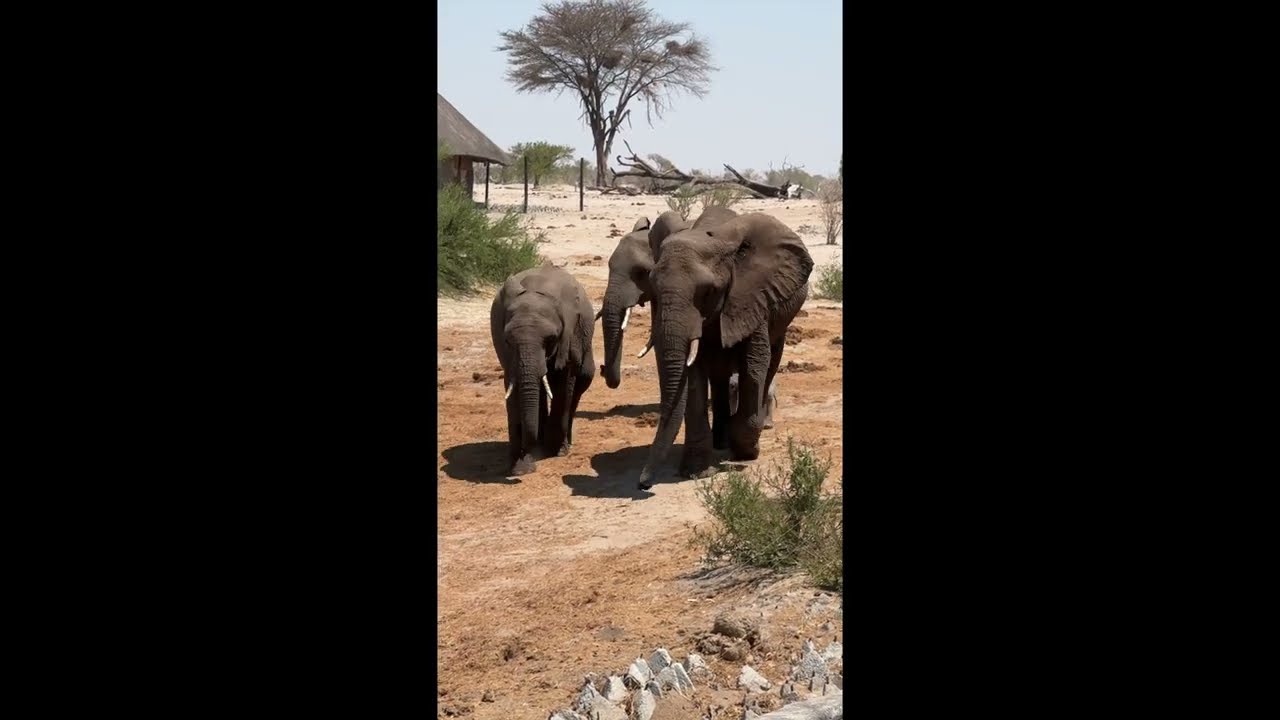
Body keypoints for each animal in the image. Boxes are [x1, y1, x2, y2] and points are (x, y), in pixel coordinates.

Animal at [490, 264, 596, 476]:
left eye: (551, 339)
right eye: (507, 340)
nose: (527, 451)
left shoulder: (570, 335)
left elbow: (564, 383)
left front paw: (557, 452)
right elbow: (514, 389)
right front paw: (520, 467)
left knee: (580, 384)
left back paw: (564, 443)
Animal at [636, 212, 813, 490]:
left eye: (707, 291)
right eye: (652, 285)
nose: (642, 484)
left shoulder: (751, 296)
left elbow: (754, 365)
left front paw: (746, 452)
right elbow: (693, 377)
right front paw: (696, 472)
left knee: (771, 363)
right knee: (718, 379)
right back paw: (720, 441)